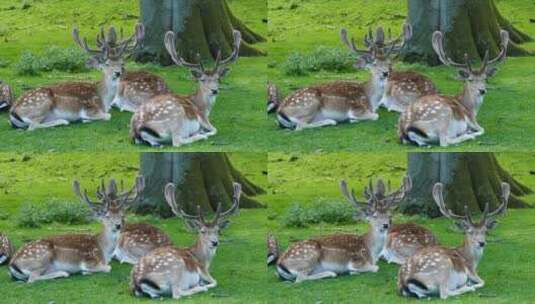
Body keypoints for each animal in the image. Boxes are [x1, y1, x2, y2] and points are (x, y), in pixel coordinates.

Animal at [8, 176, 143, 282]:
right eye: (107, 216)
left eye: (122, 215)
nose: (118, 225)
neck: (103, 250)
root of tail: (12, 264)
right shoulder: (89, 261)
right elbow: (107, 268)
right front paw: (85, 272)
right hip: (41, 258)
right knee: (32, 278)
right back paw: (62, 273)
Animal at [9, 24, 144, 131]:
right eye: (107, 64)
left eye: (122, 63)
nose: (117, 73)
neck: (103, 99)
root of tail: (13, 112)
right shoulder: (89, 109)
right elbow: (107, 116)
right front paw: (84, 119)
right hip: (42, 104)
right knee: (33, 126)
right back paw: (63, 121)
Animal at [270, 176, 412, 282]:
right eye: (374, 216)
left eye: (390, 215)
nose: (386, 225)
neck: (371, 251)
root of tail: (280, 264)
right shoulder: (356, 261)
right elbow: (375, 268)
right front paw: (353, 272)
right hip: (308, 256)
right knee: (300, 278)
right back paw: (330, 273)